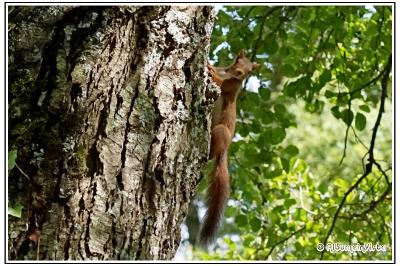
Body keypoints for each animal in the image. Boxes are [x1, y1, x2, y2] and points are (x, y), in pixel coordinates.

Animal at [199, 50, 260, 245]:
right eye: (238, 61)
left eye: (250, 71)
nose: (241, 73)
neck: (229, 74)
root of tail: (224, 150)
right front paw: (210, 64)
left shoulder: (231, 87)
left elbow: (220, 84)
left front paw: (209, 69)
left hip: (221, 132)